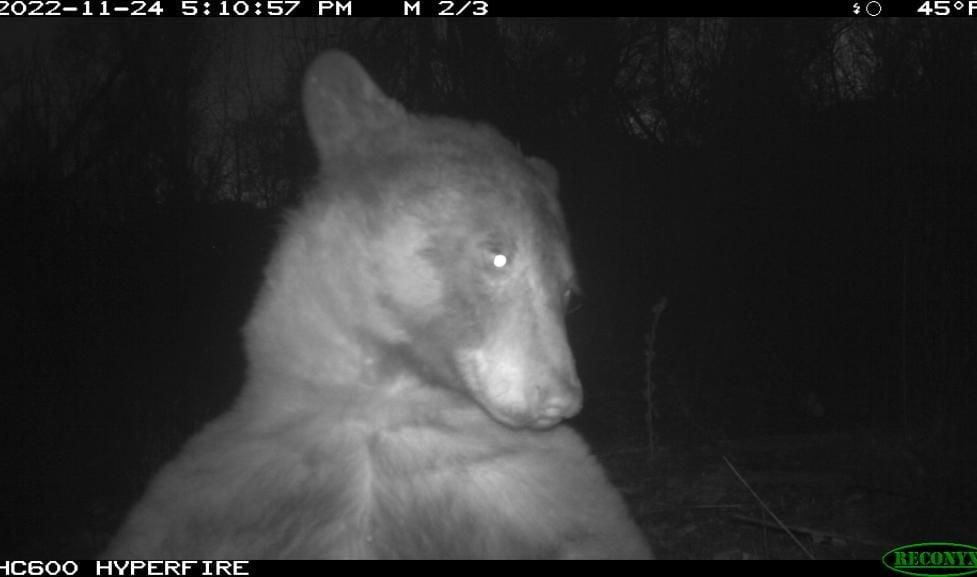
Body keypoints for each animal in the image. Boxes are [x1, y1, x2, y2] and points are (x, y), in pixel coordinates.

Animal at [105, 53, 648, 560]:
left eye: (569, 294)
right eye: (498, 255)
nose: (561, 397)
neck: (385, 397)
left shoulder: (537, 487)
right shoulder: (227, 482)